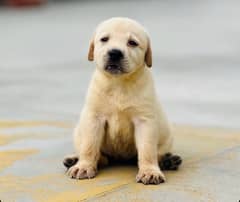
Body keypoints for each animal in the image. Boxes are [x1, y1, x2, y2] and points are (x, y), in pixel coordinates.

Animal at [63, 17, 182, 185]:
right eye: (104, 39)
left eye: (132, 42)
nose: (114, 53)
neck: (119, 82)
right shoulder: (94, 118)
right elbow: (89, 146)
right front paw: (84, 167)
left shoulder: (144, 121)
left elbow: (147, 150)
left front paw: (150, 171)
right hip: (78, 132)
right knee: (99, 156)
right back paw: (74, 160)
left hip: (167, 137)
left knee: (155, 153)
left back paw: (168, 160)